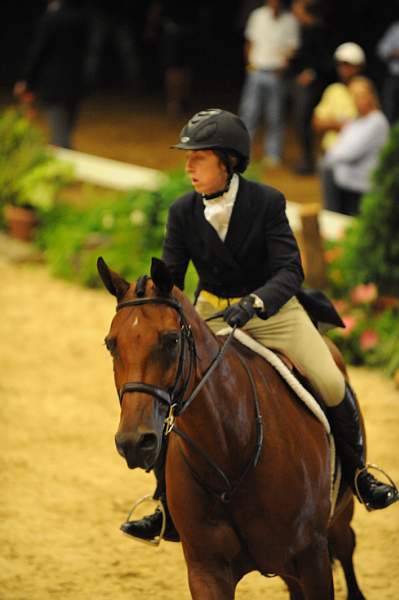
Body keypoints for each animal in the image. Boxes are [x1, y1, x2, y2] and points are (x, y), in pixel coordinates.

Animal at [98, 256, 368, 600]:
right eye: (111, 344)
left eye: (171, 340)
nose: (134, 442)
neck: (230, 452)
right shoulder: (207, 571)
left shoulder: (313, 558)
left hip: (338, 519)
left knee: (347, 547)